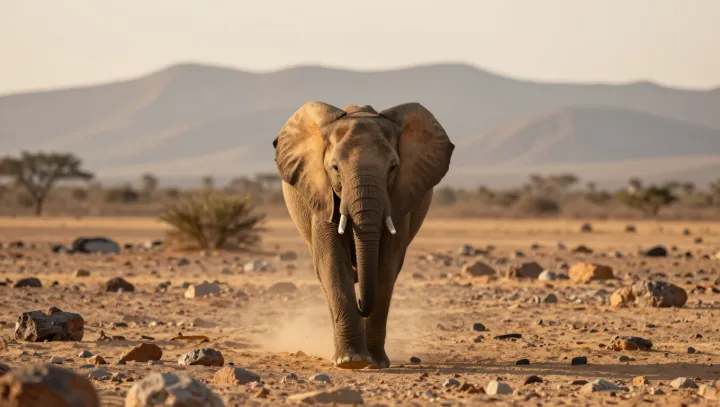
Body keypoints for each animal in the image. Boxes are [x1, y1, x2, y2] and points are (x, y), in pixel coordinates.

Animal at [272, 101, 454, 369]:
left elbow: (387, 265)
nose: (360, 305)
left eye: (392, 168)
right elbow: (332, 262)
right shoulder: (323, 194)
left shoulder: (398, 198)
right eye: (335, 168)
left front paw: (375, 362)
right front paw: (351, 361)